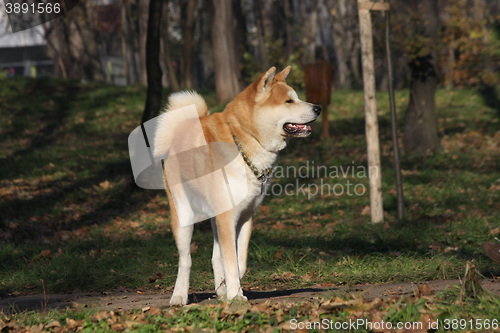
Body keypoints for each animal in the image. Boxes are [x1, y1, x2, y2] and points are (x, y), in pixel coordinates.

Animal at [154, 66, 322, 304]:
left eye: (297, 98)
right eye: (289, 101)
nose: (318, 108)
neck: (245, 139)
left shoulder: (244, 216)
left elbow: (237, 262)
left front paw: (230, 289)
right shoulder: (228, 218)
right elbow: (230, 262)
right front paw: (235, 295)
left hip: (216, 217)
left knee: (216, 257)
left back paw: (220, 290)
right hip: (184, 216)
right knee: (185, 260)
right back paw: (179, 296)